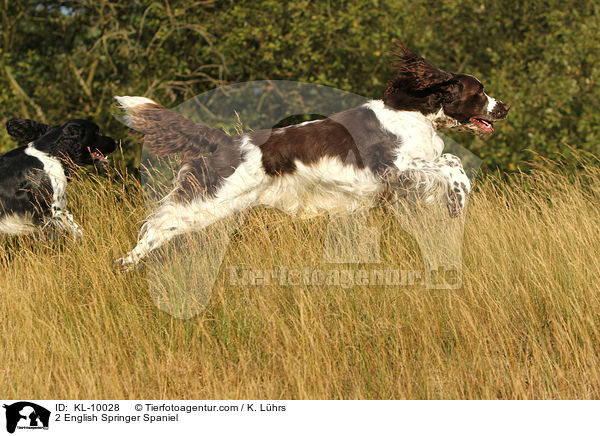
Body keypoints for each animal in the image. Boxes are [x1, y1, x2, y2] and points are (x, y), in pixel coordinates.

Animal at [112, 44, 506, 270]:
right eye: (480, 91)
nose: (504, 107)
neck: (416, 112)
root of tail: (225, 141)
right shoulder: (395, 167)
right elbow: (452, 166)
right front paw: (457, 200)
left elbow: (450, 160)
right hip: (211, 199)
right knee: (159, 225)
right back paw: (125, 264)